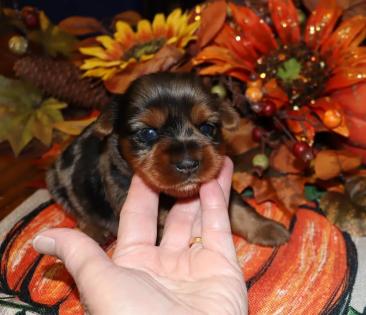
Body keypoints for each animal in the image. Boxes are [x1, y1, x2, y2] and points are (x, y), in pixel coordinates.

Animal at [45, 72, 288, 247]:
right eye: (148, 133)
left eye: (207, 127)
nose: (188, 164)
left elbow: (238, 207)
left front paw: (267, 228)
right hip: (57, 183)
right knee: (79, 212)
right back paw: (96, 232)